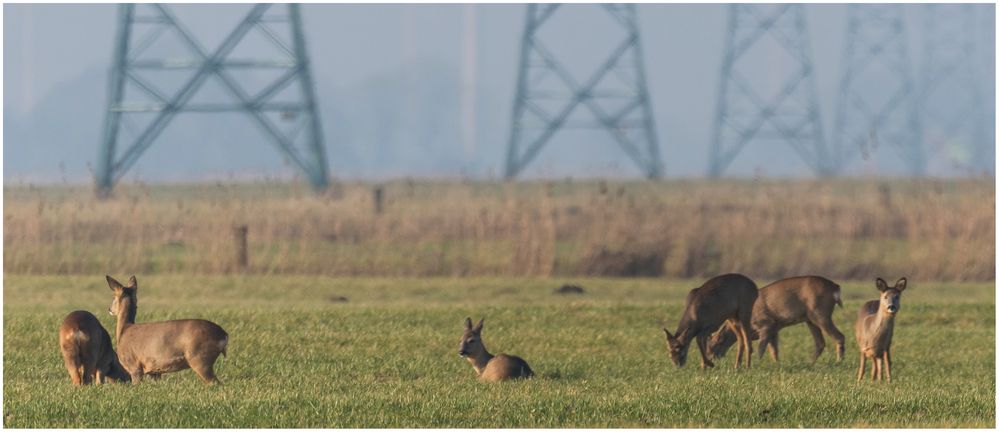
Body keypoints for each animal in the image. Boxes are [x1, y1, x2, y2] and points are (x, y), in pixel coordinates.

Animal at [708, 276, 848, 362]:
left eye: (713, 346)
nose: (710, 359)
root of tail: (836, 287)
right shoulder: (774, 329)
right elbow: (774, 351)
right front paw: (777, 364)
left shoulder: (766, 324)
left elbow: (761, 348)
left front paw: (759, 363)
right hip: (810, 319)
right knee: (820, 343)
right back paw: (810, 363)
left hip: (820, 313)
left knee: (839, 336)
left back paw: (838, 362)